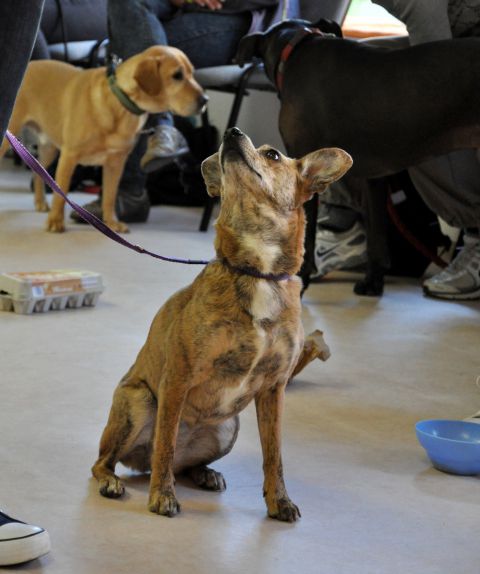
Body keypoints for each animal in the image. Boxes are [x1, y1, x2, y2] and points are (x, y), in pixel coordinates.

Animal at [0, 45, 206, 234]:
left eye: (192, 73)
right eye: (177, 75)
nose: (205, 100)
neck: (120, 105)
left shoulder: (116, 163)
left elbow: (109, 197)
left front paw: (111, 222)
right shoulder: (69, 156)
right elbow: (61, 193)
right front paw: (56, 221)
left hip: (49, 148)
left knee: (38, 172)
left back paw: (40, 202)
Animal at [91, 128, 352, 524]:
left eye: (273, 155)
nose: (232, 132)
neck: (257, 271)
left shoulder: (274, 389)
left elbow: (274, 455)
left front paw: (279, 501)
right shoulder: (177, 379)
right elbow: (165, 445)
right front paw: (162, 497)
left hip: (229, 427)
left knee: (182, 464)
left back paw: (205, 473)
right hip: (139, 402)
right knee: (113, 460)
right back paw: (114, 480)